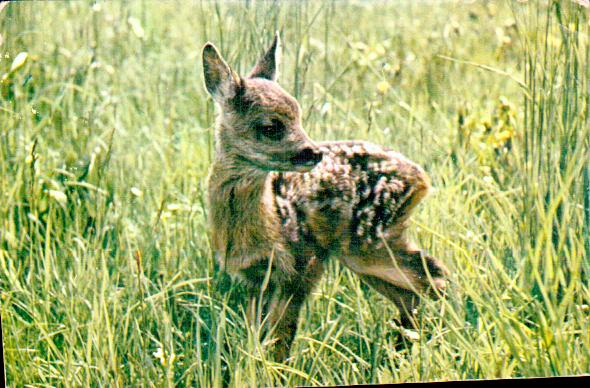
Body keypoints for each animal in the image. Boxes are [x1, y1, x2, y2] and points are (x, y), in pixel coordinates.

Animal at [202, 32, 448, 360]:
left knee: (435, 278)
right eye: (269, 127)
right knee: (412, 293)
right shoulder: (255, 276)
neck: (267, 218)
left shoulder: (303, 261)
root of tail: (420, 178)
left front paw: (277, 368)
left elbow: (280, 337)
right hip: (368, 250)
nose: (313, 152)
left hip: (368, 242)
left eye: (298, 115)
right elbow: (257, 335)